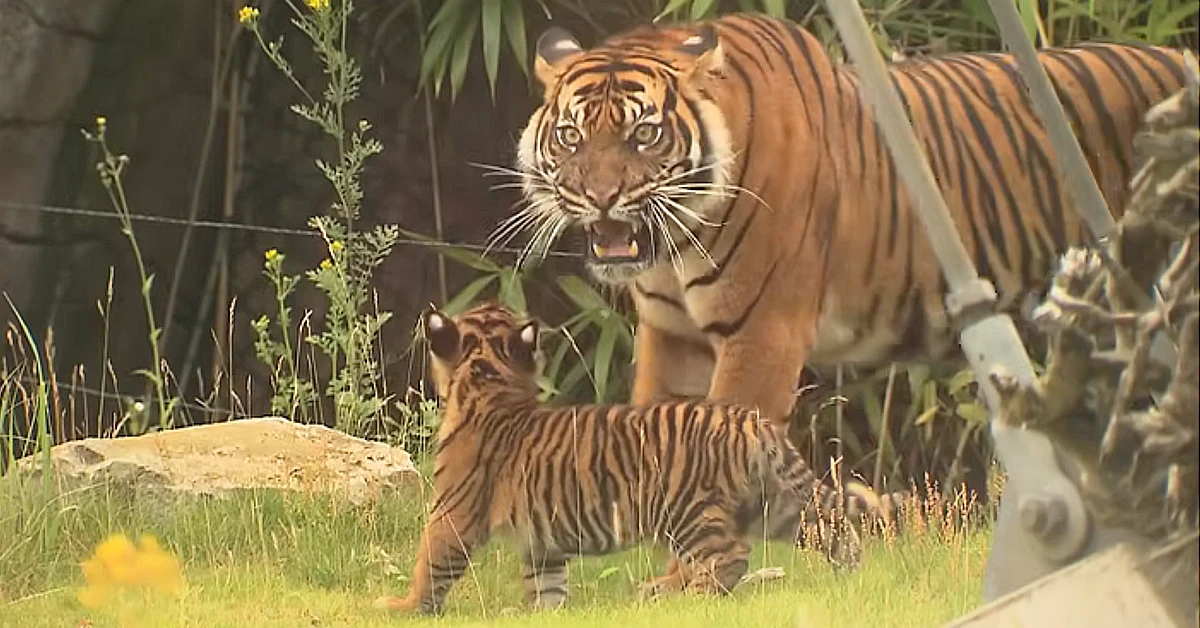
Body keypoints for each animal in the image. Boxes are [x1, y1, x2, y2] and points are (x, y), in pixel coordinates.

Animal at [506, 12, 1190, 427]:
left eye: (643, 135)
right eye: (570, 137)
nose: (598, 196)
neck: (675, 244)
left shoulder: (763, 333)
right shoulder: (673, 337)